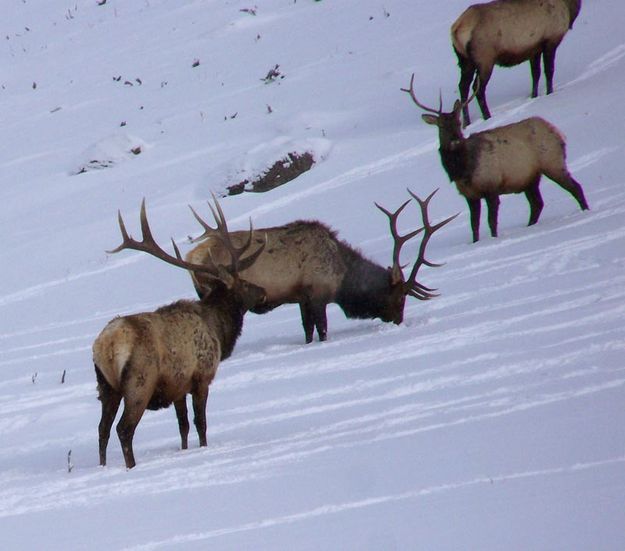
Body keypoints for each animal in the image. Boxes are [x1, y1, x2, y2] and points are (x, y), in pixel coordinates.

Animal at [93, 198, 266, 470]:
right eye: (244, 282)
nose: (263, 292)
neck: (218, 329)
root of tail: (107, 345)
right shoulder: (201, 376)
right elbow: (200, 423)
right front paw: (203, 449)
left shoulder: (178, 386)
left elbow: (183, 426)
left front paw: (184, 451)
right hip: (139, 381)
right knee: (124, 429)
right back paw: (132, 466)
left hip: (106, 385)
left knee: (102, 430)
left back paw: (103, 466)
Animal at [183, 190, 456, 344]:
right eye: (399, 298)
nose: (399, 321)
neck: (343, 276)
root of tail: (192, 256)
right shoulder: (318, 294)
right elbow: (322, 330)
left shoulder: (302, 297)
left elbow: (307, 331)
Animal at [402, 75, 588, 242]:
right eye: (441, 126)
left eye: (458, 122)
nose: (455, 140)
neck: (463, 169)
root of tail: (558, 132)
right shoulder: (470, 195)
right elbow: (474, 226)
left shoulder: (491, 186)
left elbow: (491, 222)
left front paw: (493, 239)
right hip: (530, 178)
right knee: (537, 204)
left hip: (553, 163)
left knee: (575, 188)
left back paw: (585, 211)